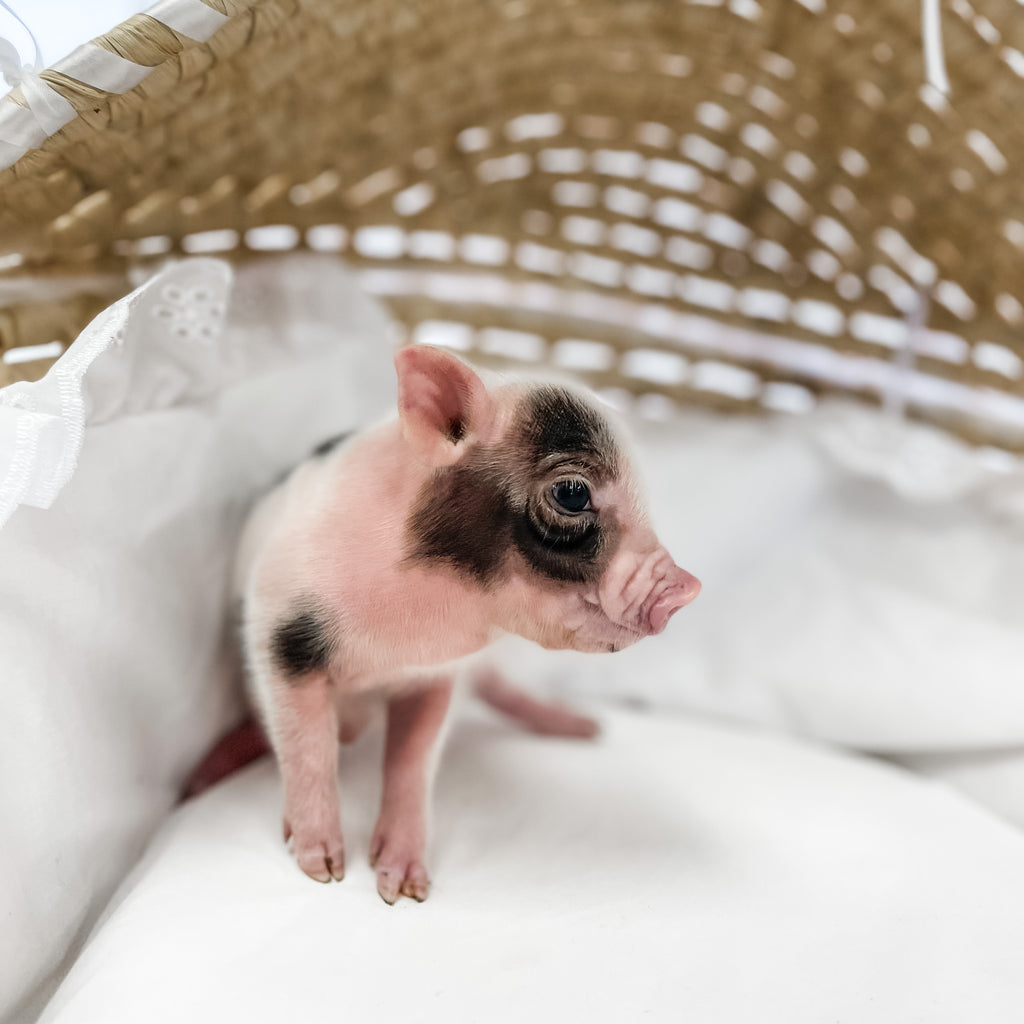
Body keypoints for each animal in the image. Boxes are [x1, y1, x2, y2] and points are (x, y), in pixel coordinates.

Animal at [223, 345, 700, 904]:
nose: (688, 589)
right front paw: (322, 870)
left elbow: (413, 760)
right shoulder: (279, 628)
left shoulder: (437, 674)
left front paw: (404, 891)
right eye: (572, 494)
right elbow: (308, 745)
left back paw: (584, 729)